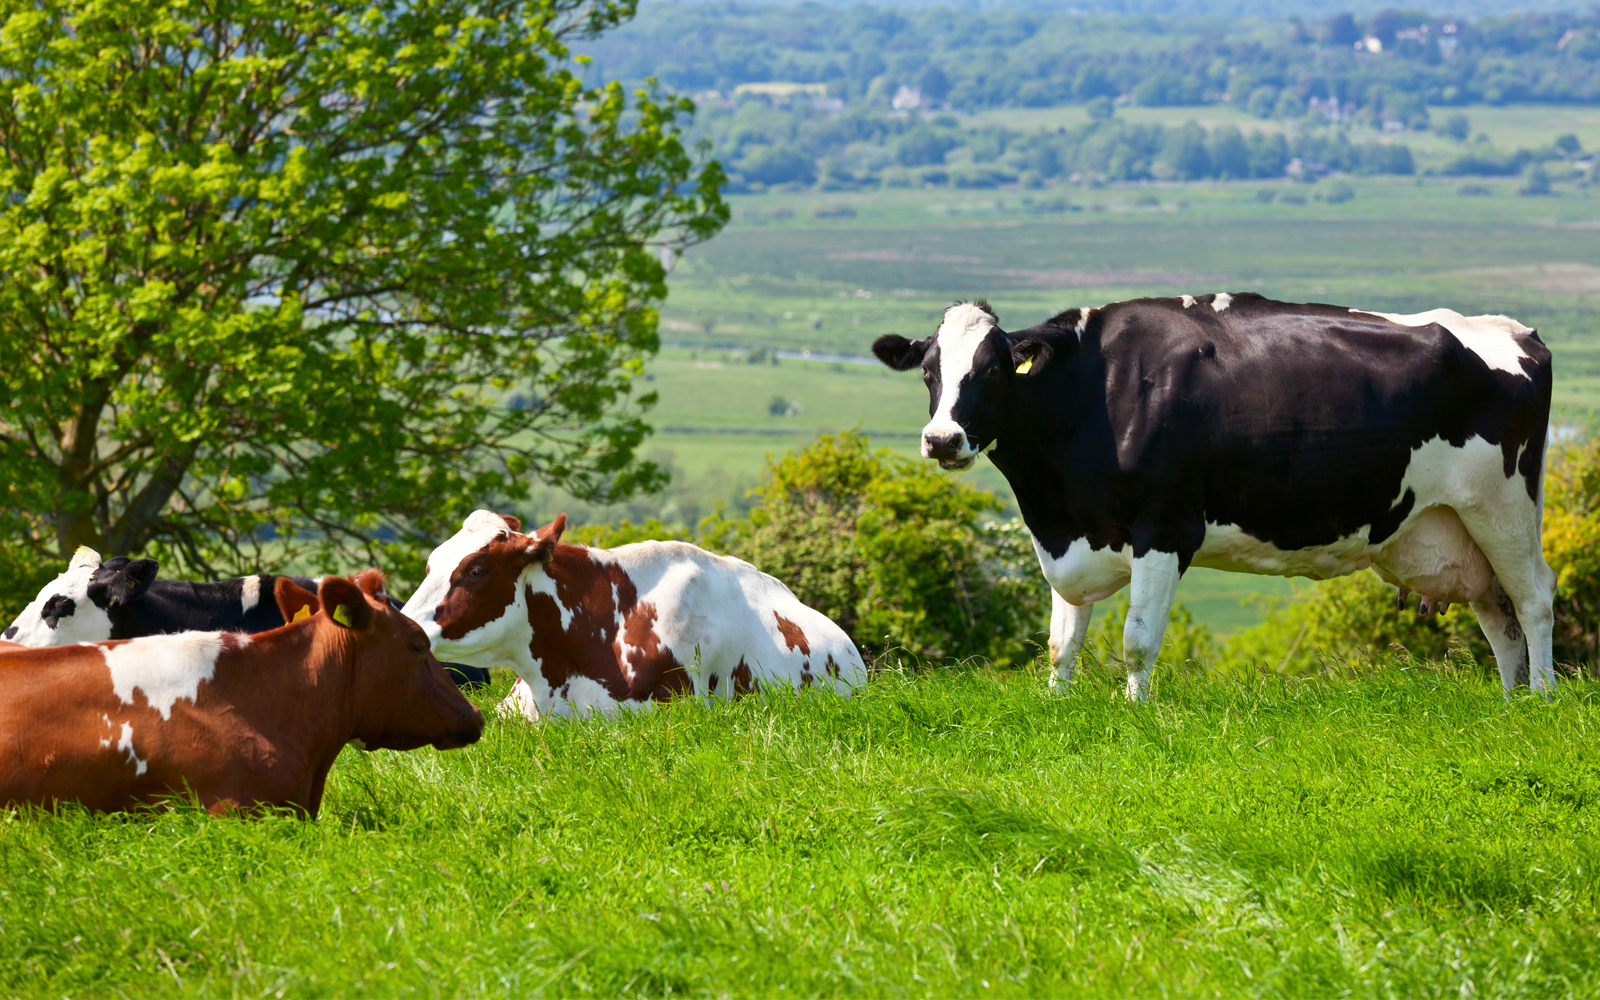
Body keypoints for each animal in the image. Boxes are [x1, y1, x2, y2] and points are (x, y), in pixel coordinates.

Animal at [870, 296, 1555, 697]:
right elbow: (1062, 645)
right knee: (1498, 615)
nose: (941, 439)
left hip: (1504, 506)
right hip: (1455, 526)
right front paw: (1055, 708)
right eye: (929, 371)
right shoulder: (1072, 533)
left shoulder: (1165, 528)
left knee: (1534, 599)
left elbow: (1137, 641)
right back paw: (1508, 702)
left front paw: (1135, 714)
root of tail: (1515, 330)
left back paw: (1542, 698)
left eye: (990, 370)